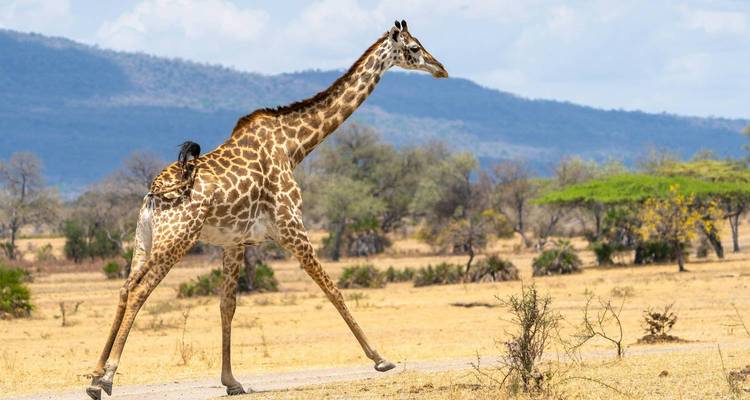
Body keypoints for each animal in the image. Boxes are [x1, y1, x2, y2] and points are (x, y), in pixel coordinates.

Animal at [86, 19, 447, 400]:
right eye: (414, 48)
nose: (441, 68)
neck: (293, 145)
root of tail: (155, 192)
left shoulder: (234, 243)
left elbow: (227, 305)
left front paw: (231, 381)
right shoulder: (292, 227)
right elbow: (332, 288)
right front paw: (380, 358)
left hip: (145, 239)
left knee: (125, 288)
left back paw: (95, 375)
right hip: (177, 239)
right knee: (139, 292)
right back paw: (107, 377)